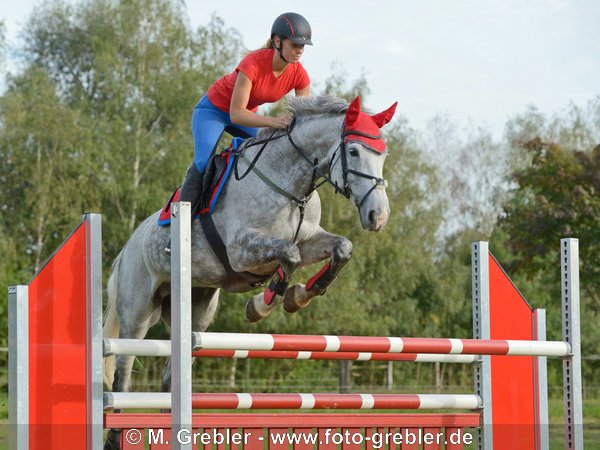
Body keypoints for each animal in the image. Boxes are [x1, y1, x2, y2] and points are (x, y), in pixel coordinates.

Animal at [103, 94, 398, 446]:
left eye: (383, 155)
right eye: (353, 151)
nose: (378, 216)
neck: (290, 186)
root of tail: (126, 248)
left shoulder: (310, 240)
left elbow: (341, 248)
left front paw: (300, 295)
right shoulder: (242, 250)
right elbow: (289, 255)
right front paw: (263, 304)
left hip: (196, 312)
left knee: (170, 376)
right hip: (137, 313)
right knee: (123, 375)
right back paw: (116, 435)